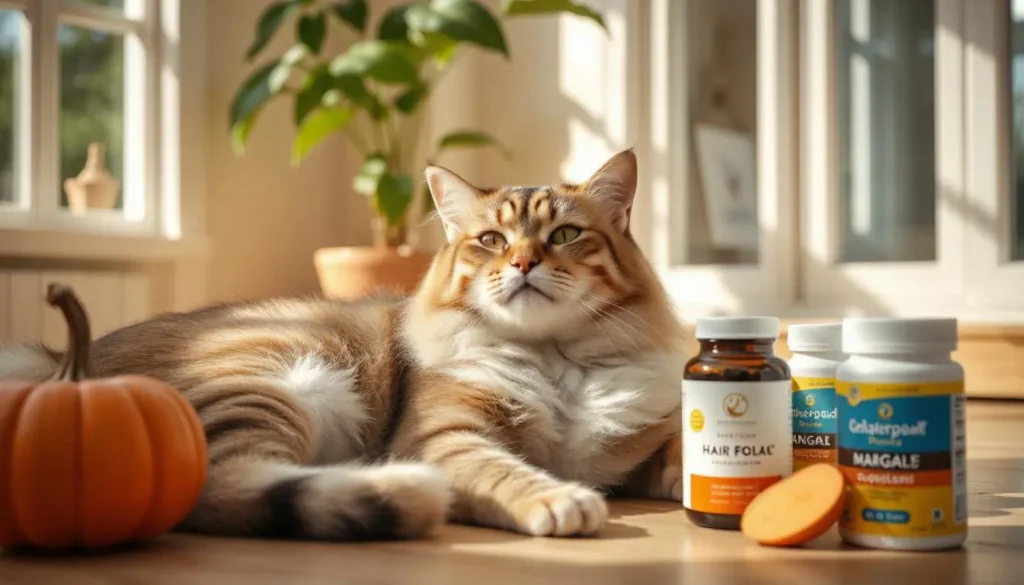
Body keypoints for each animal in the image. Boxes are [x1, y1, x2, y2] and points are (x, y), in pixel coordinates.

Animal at [2, 148, 688, 540]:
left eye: (566, 235)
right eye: (491, 241)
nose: (522, 264)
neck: (554, 359)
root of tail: (62, 360)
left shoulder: (649, 430)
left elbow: (681, 449)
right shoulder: (445, 436)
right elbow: (509, 474)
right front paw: (564, 500)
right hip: (270, 385)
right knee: (223, 486)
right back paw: (386, 486)